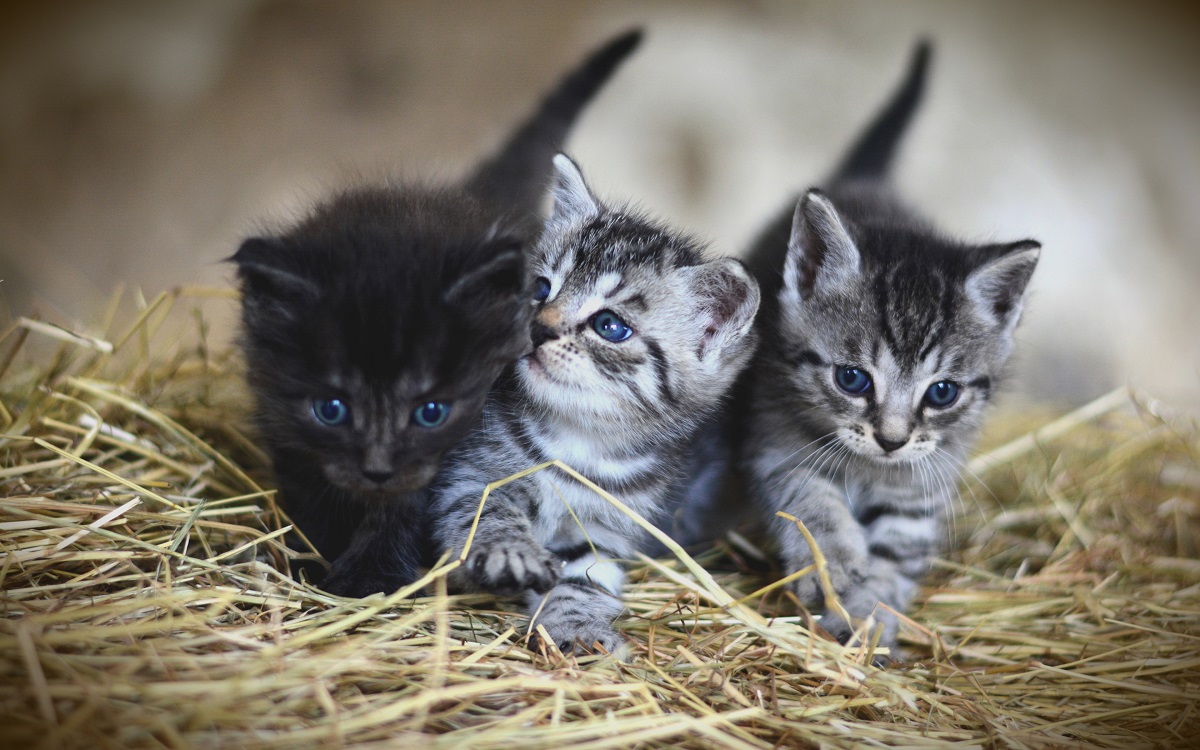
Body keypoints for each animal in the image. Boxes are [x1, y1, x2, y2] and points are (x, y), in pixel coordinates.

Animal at [236, 30, 648, 597]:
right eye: (331, 409)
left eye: (430, 412)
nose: (378, 469)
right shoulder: (285, 426)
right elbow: (311, 494)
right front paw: (313, 556)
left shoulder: (456, 454)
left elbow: (406, 507)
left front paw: (370, 576)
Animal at [429, 154, 758, 652]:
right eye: (540, 289)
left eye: (609, 325)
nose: (539, 328)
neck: (579, 439)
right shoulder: (469, 475)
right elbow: (485, 512)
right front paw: (509, 550)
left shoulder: (607, 529)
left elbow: (583, 579)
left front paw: (579, 630)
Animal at [739, 42, 1041, 648]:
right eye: (852, 379)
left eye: (942, 393)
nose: (892, 440)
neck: (868, 470)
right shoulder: (775, 437)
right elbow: (810, 502)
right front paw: (836, 569)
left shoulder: (924, 481)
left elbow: (897, 550)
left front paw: (872, 616)